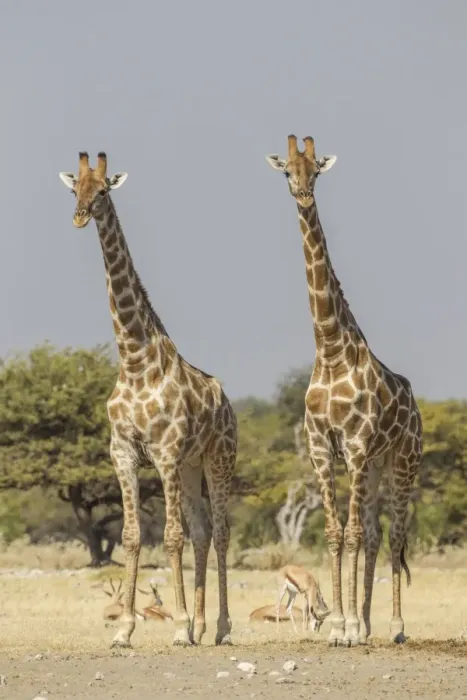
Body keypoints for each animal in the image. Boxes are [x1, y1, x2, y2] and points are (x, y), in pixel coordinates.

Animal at [59, 152, 237, 648]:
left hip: (217, 459)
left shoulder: (166, 453)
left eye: (103, 191)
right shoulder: (123, 452)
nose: (80, 215)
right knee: (202, 531)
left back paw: (219, 627)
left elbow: (171, 536)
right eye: (74, 188)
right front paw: (125, 629)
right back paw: (200, 625)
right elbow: (133, 536)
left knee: (219, 531)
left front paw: (176, 627)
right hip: (193, 465)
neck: (135, 360)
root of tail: (230, 406)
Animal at [265, 135, 422, 647]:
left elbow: (351, 534)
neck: (331, 350)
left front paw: (347, 626)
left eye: (315, 169)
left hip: (402, 463)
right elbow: (338, 534)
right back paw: (368, 623)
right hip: (373, 469)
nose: (302, 195)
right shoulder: (322, 448)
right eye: (286, 170)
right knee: (372, 534)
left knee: (393, 535)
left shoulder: (353, 446)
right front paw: (340, 625)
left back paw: (394, 627)